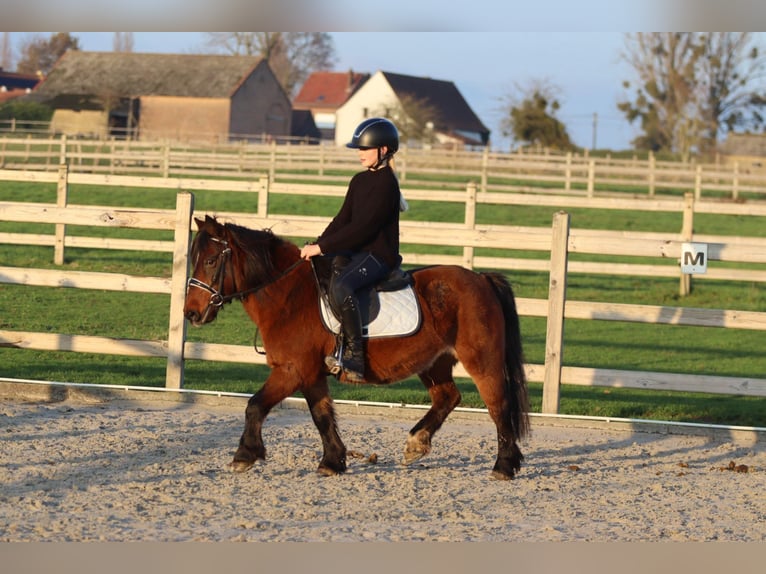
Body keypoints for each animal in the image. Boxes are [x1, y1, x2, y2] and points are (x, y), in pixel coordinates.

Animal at [183, 215, 530, 480]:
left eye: (211, 261)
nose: (191, 313)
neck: (290, 296)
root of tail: (481, 279)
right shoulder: (311, 374)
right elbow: (321, 415)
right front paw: (332, 461)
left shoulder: (292, 370)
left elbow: (255, 405)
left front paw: (244, 455)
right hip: (435, 361)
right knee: (448, 397)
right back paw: (416, 444)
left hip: (481, 360)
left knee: (498, 405)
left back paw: (504, 466)